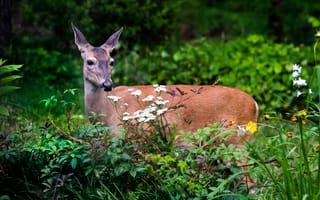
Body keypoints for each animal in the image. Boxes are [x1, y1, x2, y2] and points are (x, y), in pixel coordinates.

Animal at [71, 24, 258, 191]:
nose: (108, 84)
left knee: (252, 182)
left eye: (112, 61)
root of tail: (255, 106)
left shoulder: (135, 138)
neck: (107, 110)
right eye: (90, 61)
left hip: (234, 141)